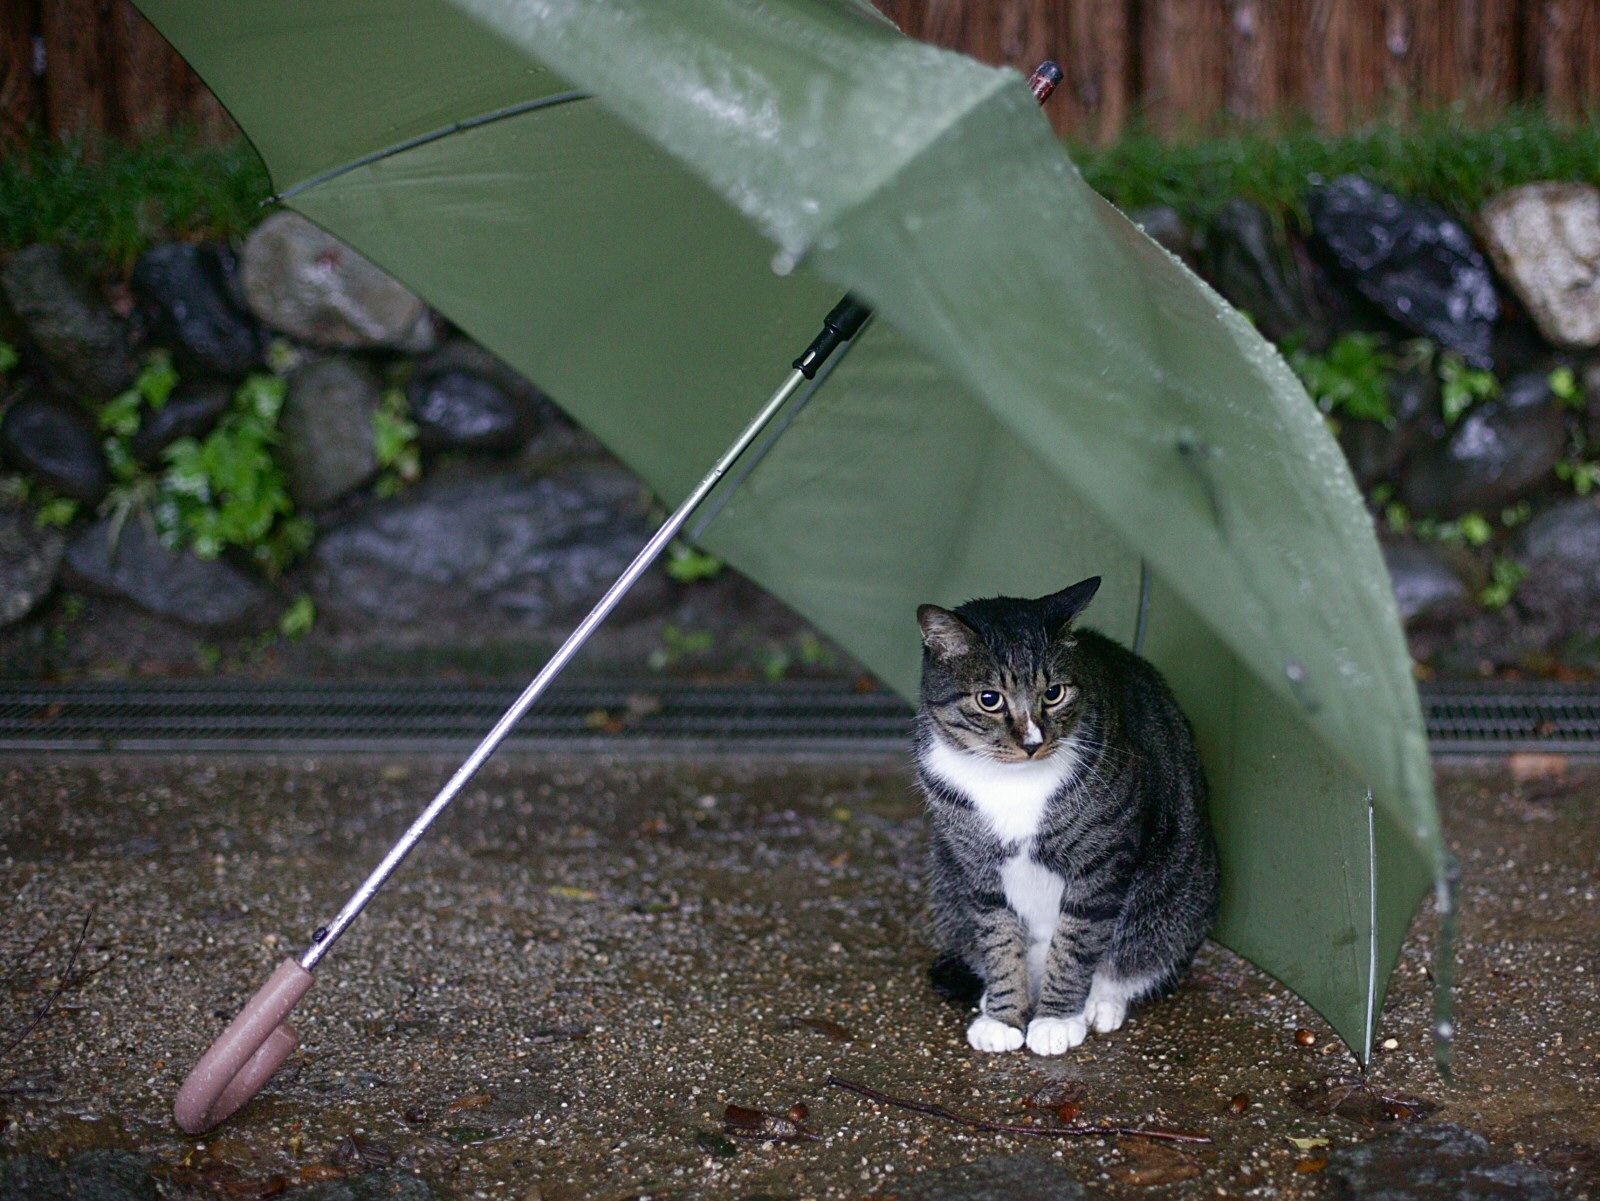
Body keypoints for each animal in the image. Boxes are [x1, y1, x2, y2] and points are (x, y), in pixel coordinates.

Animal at [921, 578, 1216, 1055]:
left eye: (1053, 693)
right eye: (989, 699)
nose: (1032, 742)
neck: (1011, 781)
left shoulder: (1102, 861)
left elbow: (1077, 941)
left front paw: (1056, 1020)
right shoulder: (977, 867)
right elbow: (998, 939)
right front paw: (1002, 1017)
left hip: (1173, 899)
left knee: (1135, 955)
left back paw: (1100, 1003)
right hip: (947, 882)